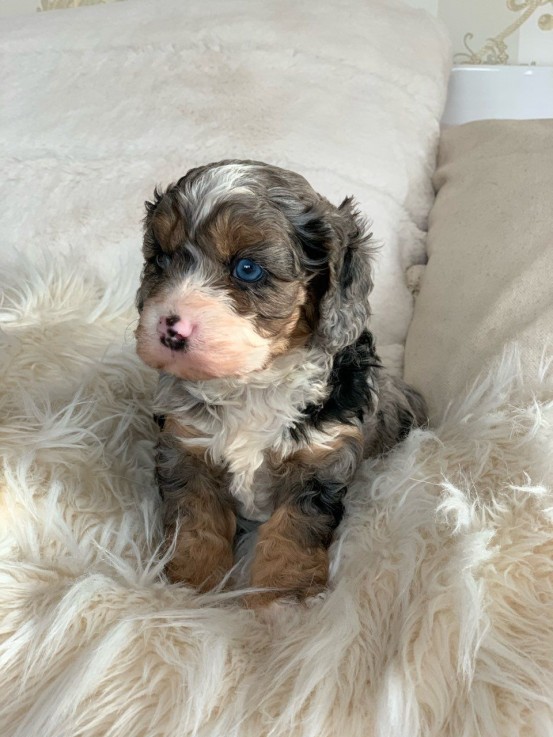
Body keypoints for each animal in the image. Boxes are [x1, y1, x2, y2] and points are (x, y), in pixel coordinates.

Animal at [135, 160, 426, 604]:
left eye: (248, 269)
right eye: (162, 260)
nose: (170, 330)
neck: (252, 383)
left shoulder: (320, 462)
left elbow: (294, 531)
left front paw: (284, 599)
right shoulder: (186, 448)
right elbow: (196, 523)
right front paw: (191, 591)